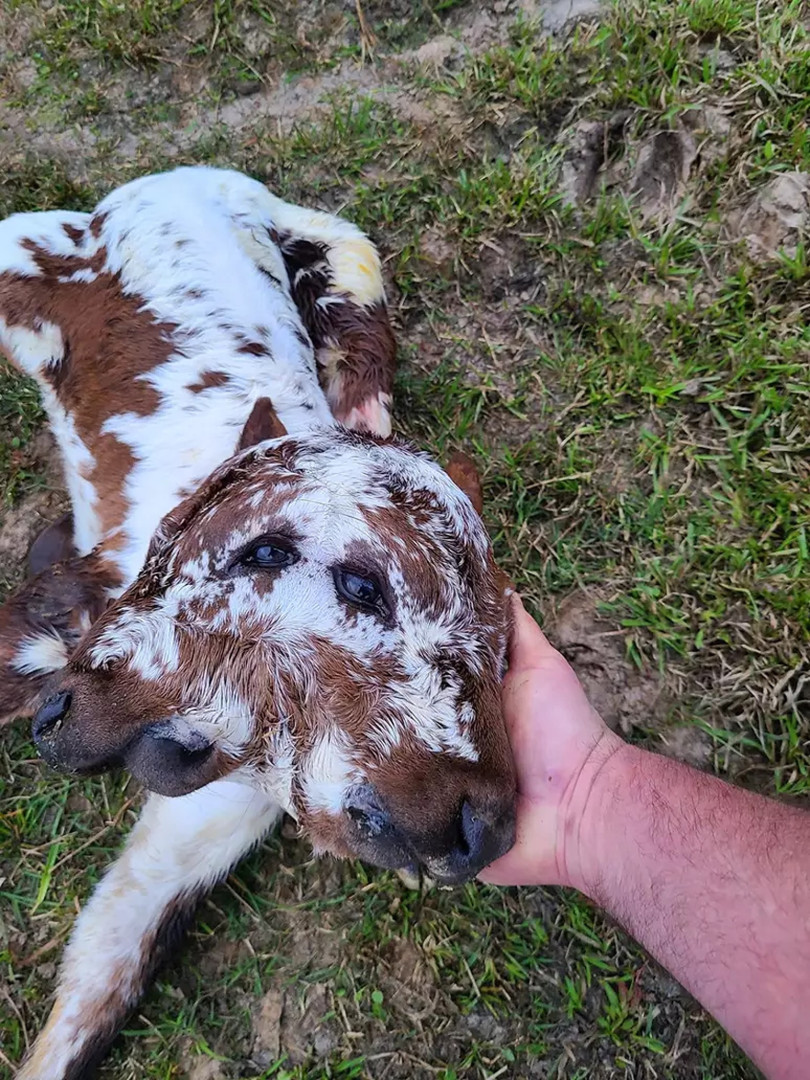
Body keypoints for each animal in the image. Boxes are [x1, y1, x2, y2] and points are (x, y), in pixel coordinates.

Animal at [0, 164, 516, 1075]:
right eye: (360, 585)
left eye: (507, 654)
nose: (482, 828)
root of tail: (188, 176)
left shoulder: (210, 810)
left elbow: (106, 976)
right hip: (26, 250)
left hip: (347, 264)